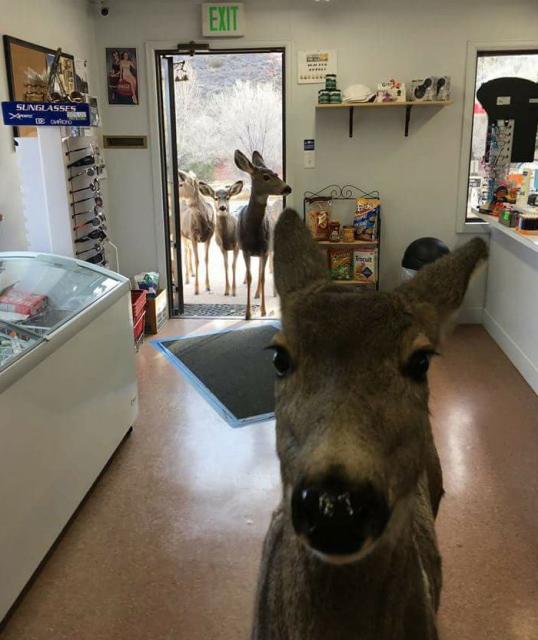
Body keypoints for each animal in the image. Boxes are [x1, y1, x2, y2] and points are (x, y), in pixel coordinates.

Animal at [234, 150, 291, 320]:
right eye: (266, 177)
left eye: (276, 173)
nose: (287, 188)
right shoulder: (245, 250)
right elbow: (250, 277)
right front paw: (247, 313)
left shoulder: (265, 249)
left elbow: (263, 277)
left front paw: (263, 311)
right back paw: (256, 294)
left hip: (269, 248)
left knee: (263, 271)